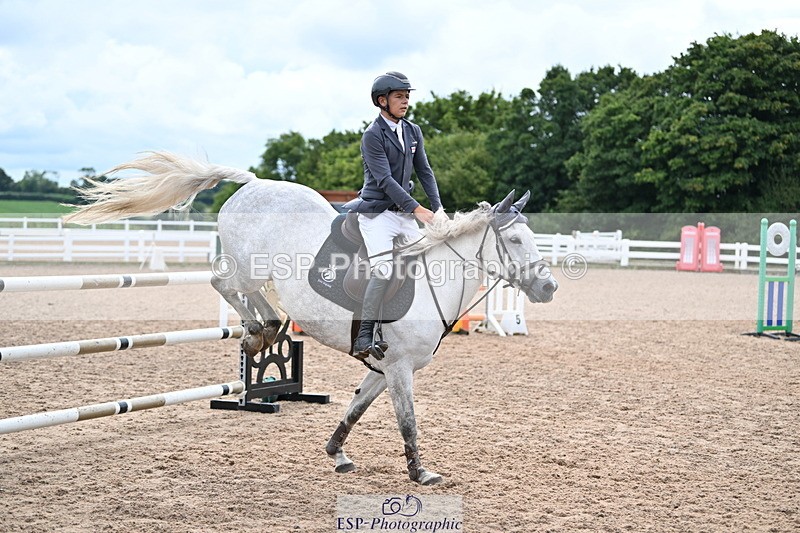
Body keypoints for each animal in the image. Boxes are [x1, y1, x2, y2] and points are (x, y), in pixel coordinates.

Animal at [65, 151, 558, 485]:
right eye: (515, 240)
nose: (548, 288)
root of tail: (252, 183)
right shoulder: (400, 368)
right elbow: (408, 421)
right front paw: (420, 472)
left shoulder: (383, 368)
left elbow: (356, 408)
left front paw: (337, 453)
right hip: (248, 265)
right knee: (225, 284)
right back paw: (256, 332)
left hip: (260, 271)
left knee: (254, 299)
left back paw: (265, 330)